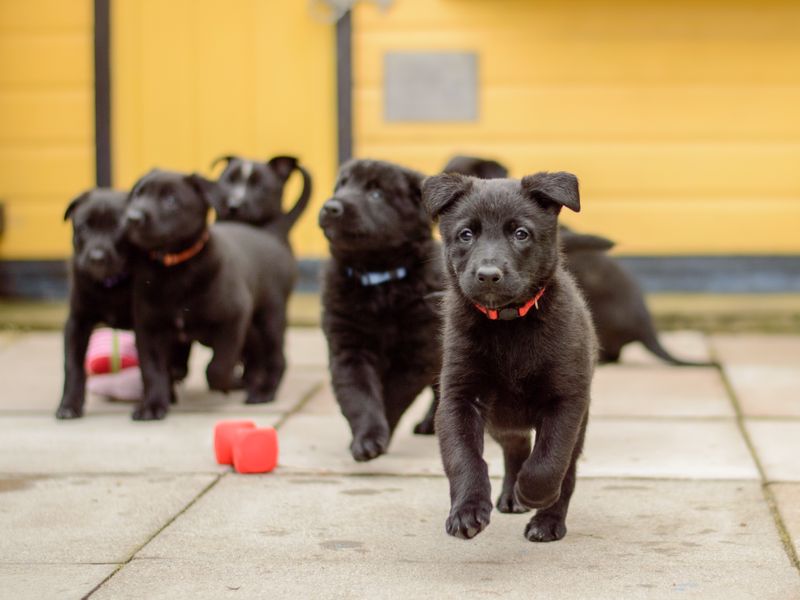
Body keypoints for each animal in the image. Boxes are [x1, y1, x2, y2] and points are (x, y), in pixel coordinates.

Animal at [57, 190, 134, 420]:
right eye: (83, 227)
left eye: (119, 227)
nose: (97, 257)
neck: (109, 284)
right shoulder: (77, 322)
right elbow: (72, 365)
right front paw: (69, 404)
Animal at [122, 170, 290, 422]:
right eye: (138, 195)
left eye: (171, 200)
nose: (133, 218)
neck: (173, 267)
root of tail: (270, 236)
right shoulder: (148, 328)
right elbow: (152, 370)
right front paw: (152, 404)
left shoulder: (234, 318)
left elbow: (218, 367)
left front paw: (227, 384)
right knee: (256, 352)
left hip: (269, 318)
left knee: (275, 358)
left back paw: (263, 390)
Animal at [318, 158, 444, 460]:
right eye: (342, 185)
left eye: (376, 194)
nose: (331, 206)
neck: (378, 281)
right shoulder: (349, 349)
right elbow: (360, 396)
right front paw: (366, 438)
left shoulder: (415, 355)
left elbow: (391, 396)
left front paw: (377, 437)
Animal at [424, 170, 592, 544]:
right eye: (466, 234)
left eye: (521, 233)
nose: (488, 275)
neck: (508, 324)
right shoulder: (458, 397)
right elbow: (464, 458)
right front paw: (467, 510)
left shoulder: (567, 399)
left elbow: (549, 460)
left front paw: (534, 493)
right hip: (502, 422)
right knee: (515, 449)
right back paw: (510, 496)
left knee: (566, 470)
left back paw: (547, 521)